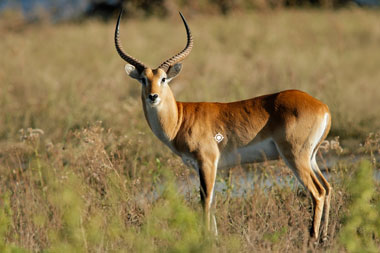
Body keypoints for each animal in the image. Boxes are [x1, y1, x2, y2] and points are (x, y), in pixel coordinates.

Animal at [113, 9, 332, 240]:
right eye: (143, 79)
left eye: (163, 78)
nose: (153, 96)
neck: (180, 119)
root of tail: (322, 106)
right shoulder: (204, 166)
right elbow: (210, 202)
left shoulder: (207, 161)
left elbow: (205, 201)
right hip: (311, 156)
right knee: (327, 188)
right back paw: (324, 237)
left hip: (295, 156)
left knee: (317, 192)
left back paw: (312, 238)